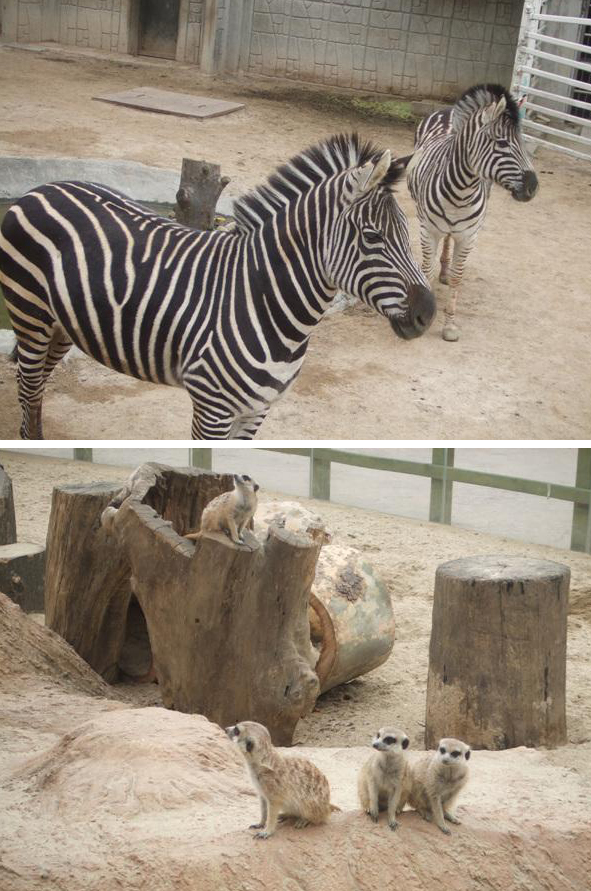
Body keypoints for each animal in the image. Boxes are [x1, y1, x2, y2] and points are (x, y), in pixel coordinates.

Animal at [0, 132, 434, 440]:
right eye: (373, 237)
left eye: (407, 231)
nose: (427, 314)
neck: (266, 300)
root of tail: (42, 188)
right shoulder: (212, 406)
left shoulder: (257, 410)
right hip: (30, 315)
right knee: (28, 385)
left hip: (63, 324)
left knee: (36, 386)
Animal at [408, 83, 540, 342]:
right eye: (502, 143)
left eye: (522, 141)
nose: (533, 187)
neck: (460, 193)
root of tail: (448, 110)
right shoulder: (428, 230)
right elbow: (427, 271)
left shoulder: (469, 236)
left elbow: (458, 276)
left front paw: (450, 324)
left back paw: (445, 271)